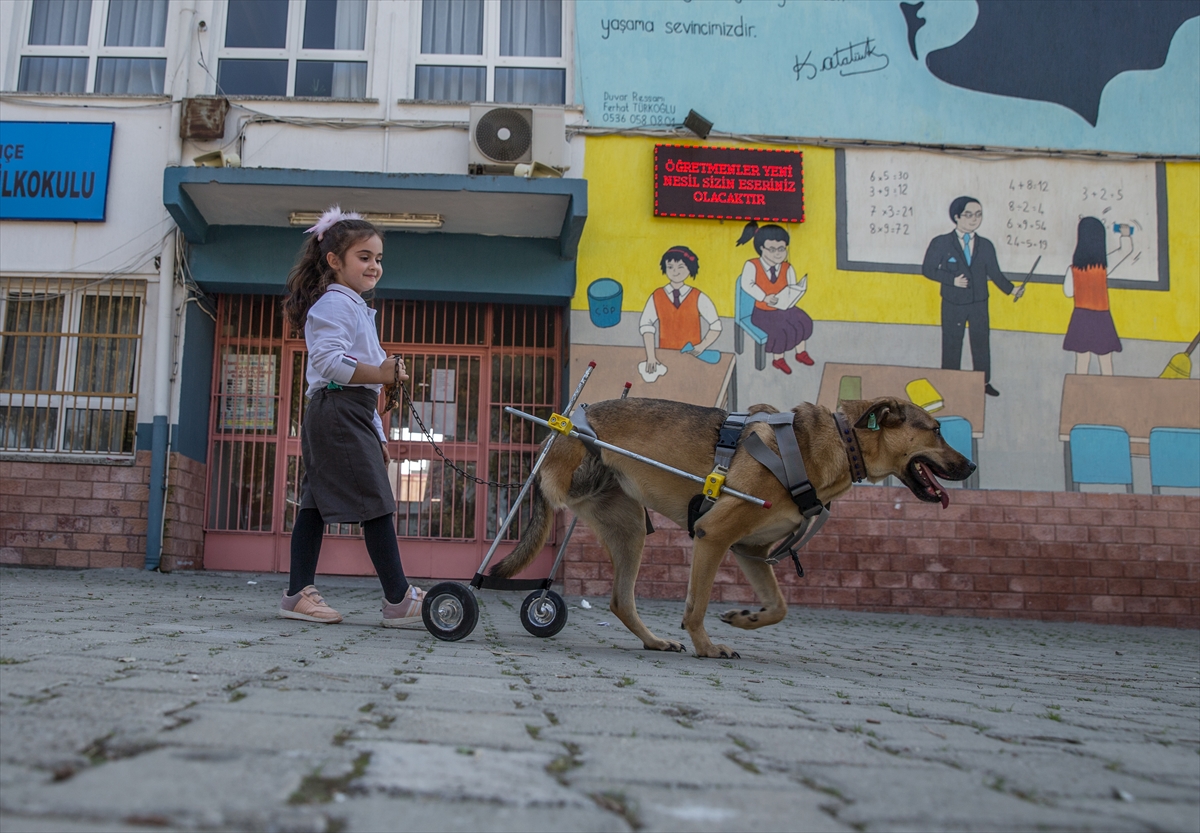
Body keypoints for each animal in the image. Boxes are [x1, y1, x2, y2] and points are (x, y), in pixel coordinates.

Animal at [494, 398, 974, 657]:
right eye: (936, 430)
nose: (971, 466)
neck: (841, 441)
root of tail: (561, 428)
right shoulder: (715, 534)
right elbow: (696, 606)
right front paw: (709, 647)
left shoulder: (751, 551)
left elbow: (779, 607)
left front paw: (744, 618)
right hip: (579, 487)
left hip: (629, 528)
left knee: (619, 600)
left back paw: (654, 641)